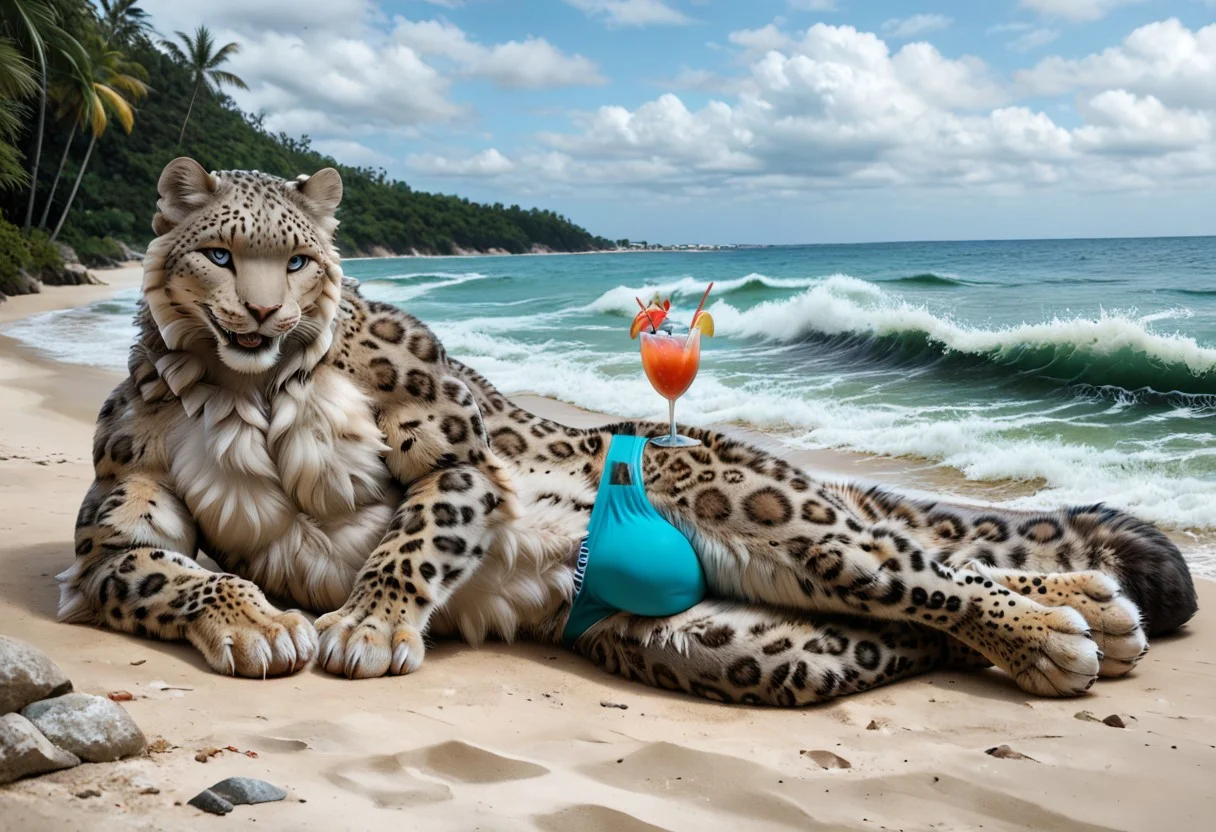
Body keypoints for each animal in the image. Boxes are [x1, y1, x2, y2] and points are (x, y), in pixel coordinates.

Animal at [57, 157, 1200, 706]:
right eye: (220, 253)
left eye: (295, 260)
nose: (258, 313)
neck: (250, 394)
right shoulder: (111, 526)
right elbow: (165, 570)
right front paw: (253, 620)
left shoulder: (464, 450)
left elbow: (410, 537)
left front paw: (368, 624)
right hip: (743, 641)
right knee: (908, 618)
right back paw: (1092, 616)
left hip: (770, 519)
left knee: (925, 572)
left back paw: (1059, 629)